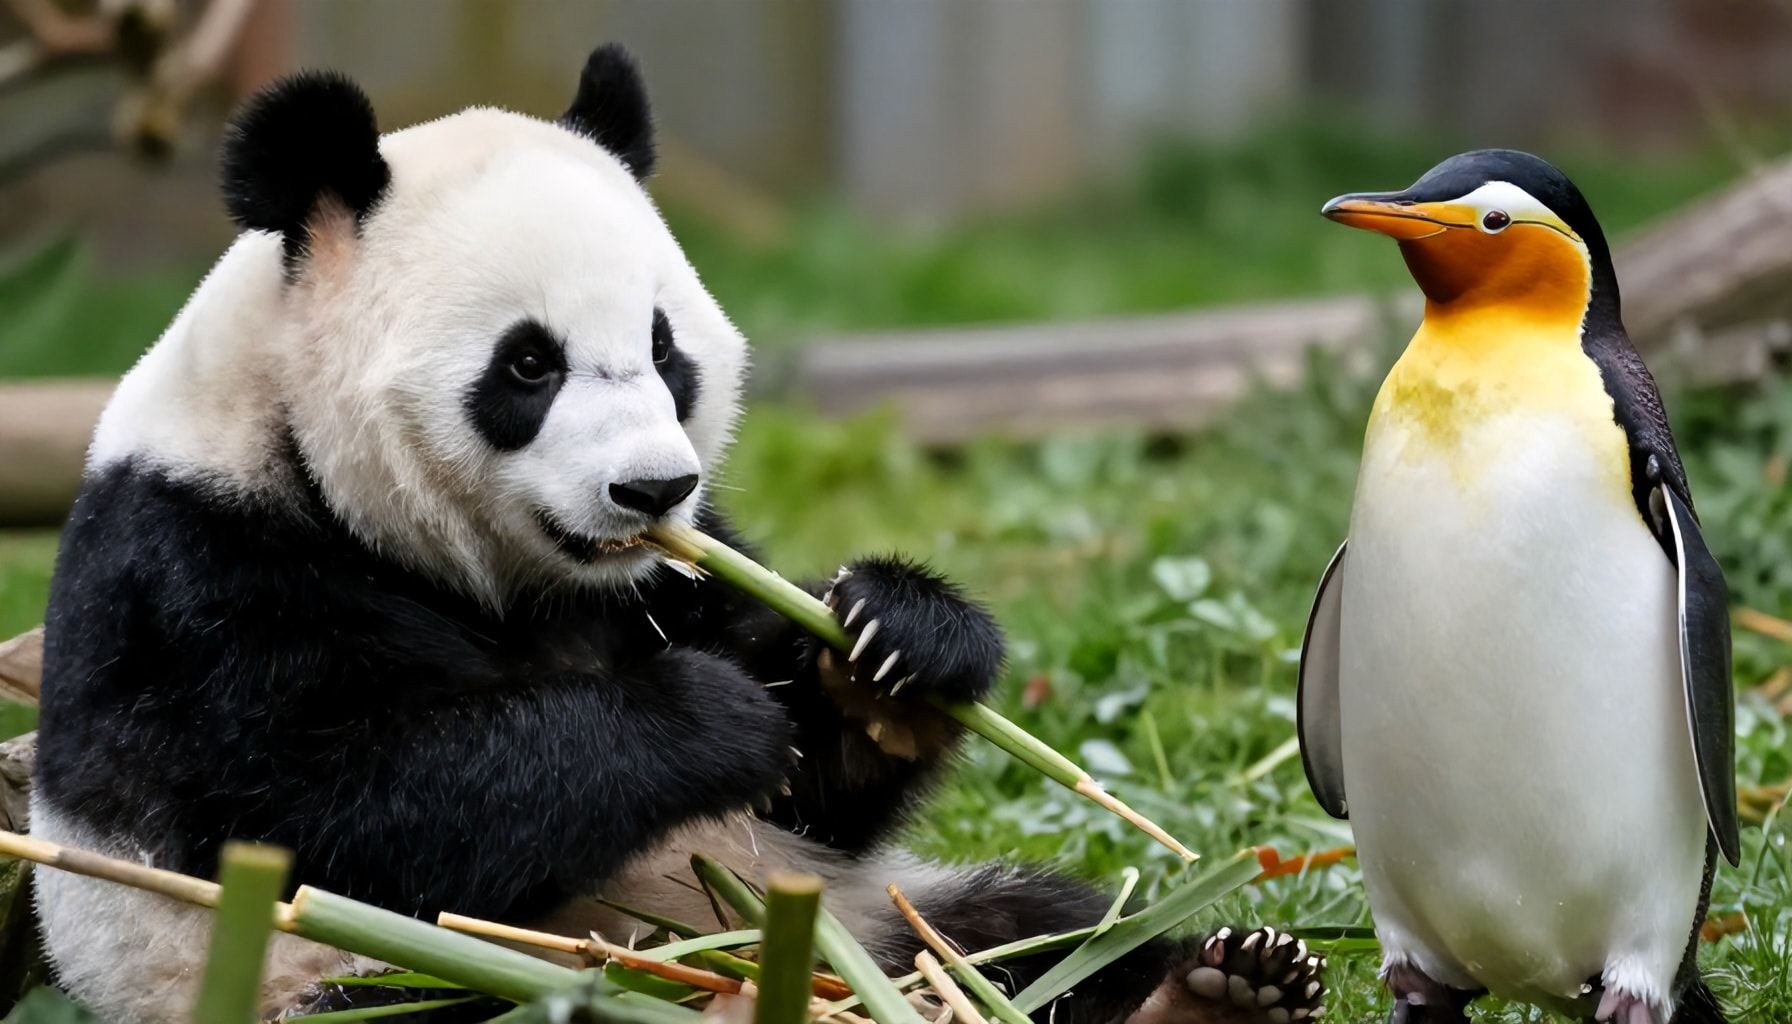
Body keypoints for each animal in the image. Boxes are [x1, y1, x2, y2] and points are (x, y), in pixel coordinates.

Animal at [30, 44, 1326, 1024]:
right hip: (363, 974)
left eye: (663, 349)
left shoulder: (674, 577)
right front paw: (705, 718)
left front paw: (887, 650)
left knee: (1038, 935)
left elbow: (818, 786)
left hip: (869, 913)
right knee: (433, 991)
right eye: (529, 364)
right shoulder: (201, 575)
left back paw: (1217, 990)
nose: (652, 489)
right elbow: (336, 807)